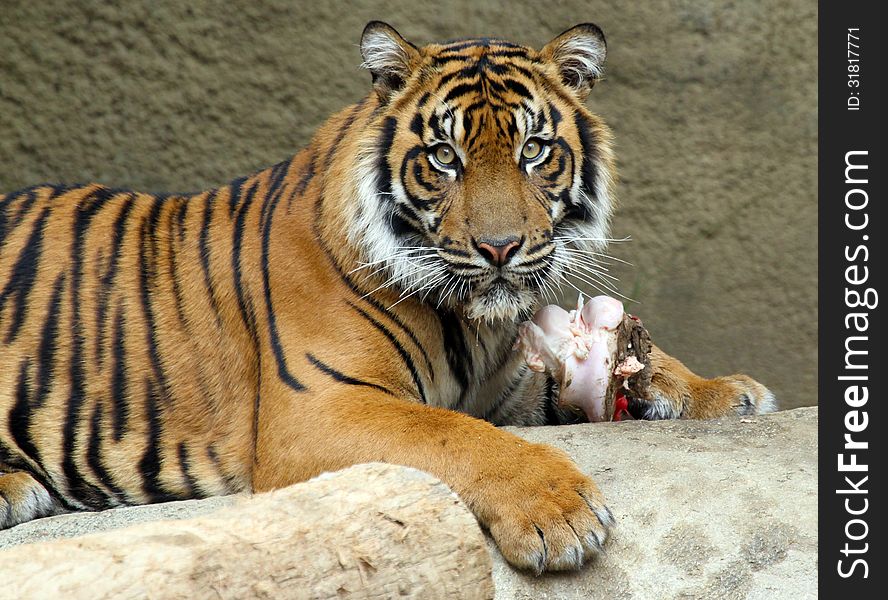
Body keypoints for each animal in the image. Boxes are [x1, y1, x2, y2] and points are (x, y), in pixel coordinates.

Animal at [0, 22, 772, 572]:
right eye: (444, 157)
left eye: (532, 151)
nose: (500, 248)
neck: (474, 324)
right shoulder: (320, 408)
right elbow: (449, 432)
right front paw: (559, 514)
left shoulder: (514, 385)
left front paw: (721, 391)